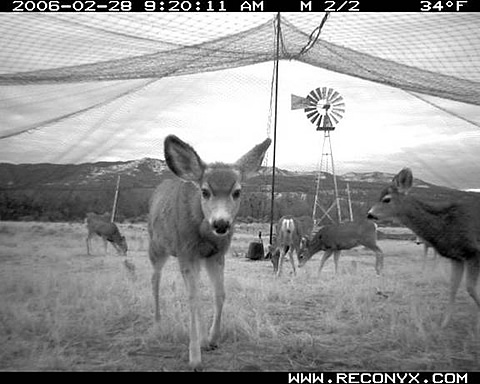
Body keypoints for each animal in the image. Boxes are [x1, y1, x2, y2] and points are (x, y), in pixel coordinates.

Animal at [148, 134, 270, 368]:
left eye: (237, 192)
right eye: (204, 192)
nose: (221, 223)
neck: (203, 232)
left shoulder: (216, 255)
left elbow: (219, 294)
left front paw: (212, 339)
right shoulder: (186, 252)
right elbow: (193, 299)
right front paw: (195, 358)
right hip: (157, 247)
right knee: (155, 280)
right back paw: (157, 324)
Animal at [366, 166, 478, 328]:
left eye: (386, 199)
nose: (369, 214)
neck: (446, 225)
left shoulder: (473, 251)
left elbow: (471, 288)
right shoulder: (457, 257)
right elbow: (453, 287)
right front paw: (443, 324)